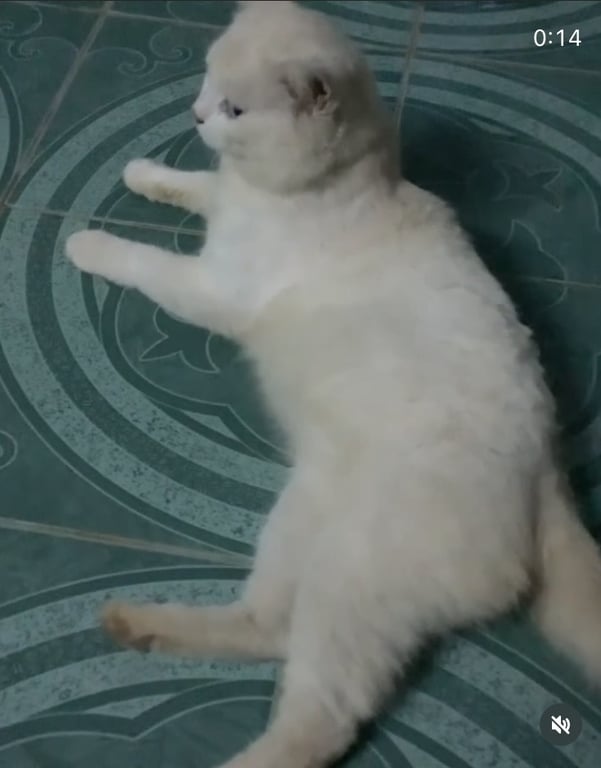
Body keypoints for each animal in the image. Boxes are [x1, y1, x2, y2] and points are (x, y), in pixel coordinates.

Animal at [66, 2, 601, 767]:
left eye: (233, 108)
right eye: (205, 81)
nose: (195, 114)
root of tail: (548, 478)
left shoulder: (211, 288)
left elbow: (143, 260)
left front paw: (88, 242)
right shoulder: (224, 201)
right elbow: (197, 184)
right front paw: (144, 170)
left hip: (347, 582)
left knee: (322, 715)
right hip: (299, 526)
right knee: (264, 628)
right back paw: (134, 625)